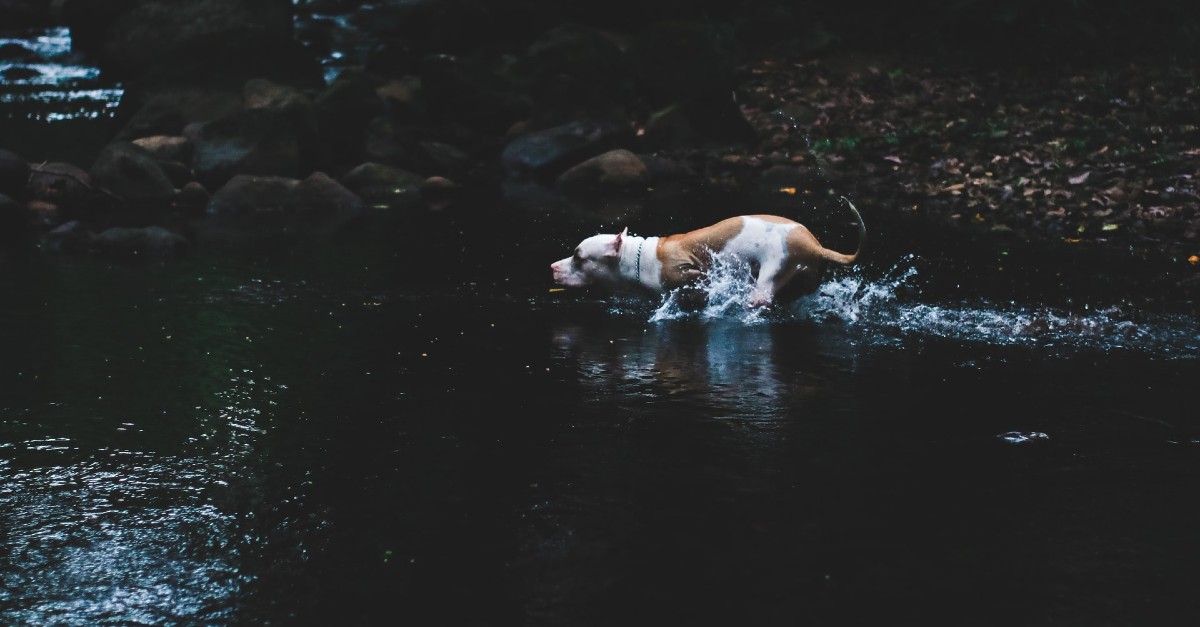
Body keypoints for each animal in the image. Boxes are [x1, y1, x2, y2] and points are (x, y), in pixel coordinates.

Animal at [549, 196, 868, 306]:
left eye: (578, 256)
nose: (552, 267)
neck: (637, 259)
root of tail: (815, 246)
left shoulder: (689, 272)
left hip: (771, 271)